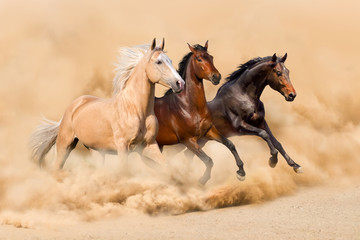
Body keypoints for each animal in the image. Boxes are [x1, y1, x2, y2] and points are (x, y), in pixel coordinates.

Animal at [29, 38, 184, 170]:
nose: (180, 83)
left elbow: (166, 165)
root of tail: (75, 105)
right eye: (159, 62)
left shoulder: (149, 145)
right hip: (65, 145)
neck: (136, 109)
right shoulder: (123, 147)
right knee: (57, 167)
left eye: (170, 60)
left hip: (96, 151)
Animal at [155, 41, 245, 185]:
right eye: (199, 59)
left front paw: (241, 172)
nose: (216, 77)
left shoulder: (208, 131)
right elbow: (208, 160)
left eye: (211, 57)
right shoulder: (188, 140)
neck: (189, 107)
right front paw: (202, 180)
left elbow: (230, 144)